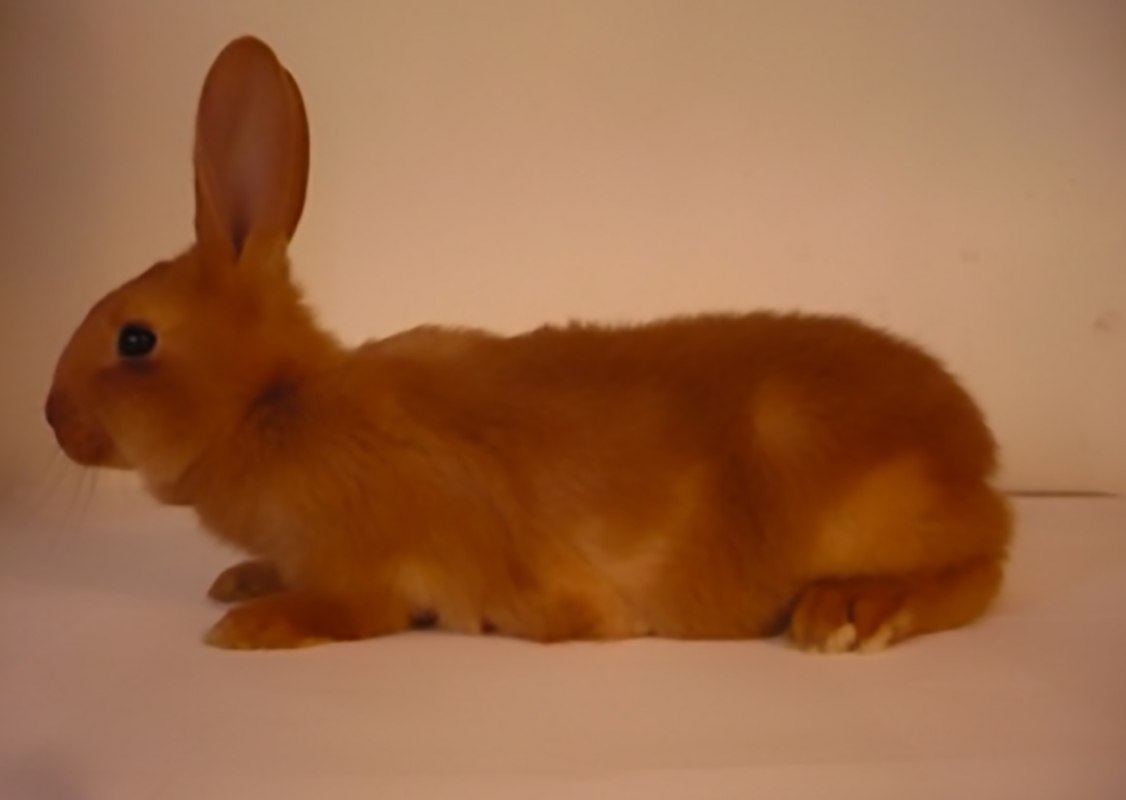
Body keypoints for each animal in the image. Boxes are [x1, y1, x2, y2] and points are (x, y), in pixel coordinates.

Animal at [45, 36, 1012, 653]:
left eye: (136, 337)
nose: (52, 416)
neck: (273, 406)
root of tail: (975, 453)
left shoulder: (372, 570)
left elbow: (348, 612)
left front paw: (248, 626)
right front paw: (241, 583)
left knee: (979, 568)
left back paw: (849, 612)